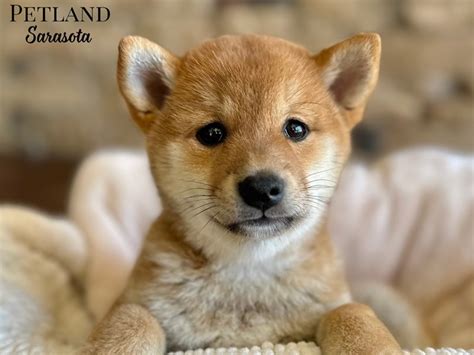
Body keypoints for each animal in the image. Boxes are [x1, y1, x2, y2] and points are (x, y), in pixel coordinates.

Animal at [85, 32, 404, 354]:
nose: (262, 188)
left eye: (296, 129)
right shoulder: (139, 302)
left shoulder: (330, 306)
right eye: (211, 133)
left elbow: (351, 312)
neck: (248, 269)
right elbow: (131, 317)